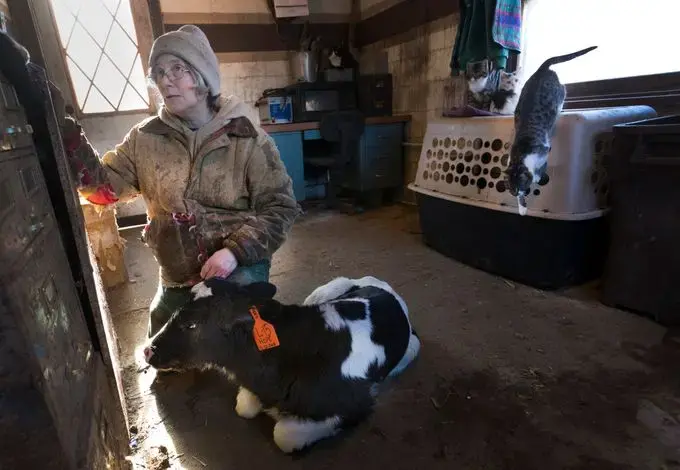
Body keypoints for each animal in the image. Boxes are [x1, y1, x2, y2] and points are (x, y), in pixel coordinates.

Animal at [143, 276, 420, 452]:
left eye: (192, 324)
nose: (147, 350)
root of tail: (380, 285)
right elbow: (244, 407)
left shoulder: (357, 405)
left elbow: (284, 435)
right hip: (324, 290)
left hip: (412, 347)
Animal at [502, 45, 596, 214]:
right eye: (510, 188)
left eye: (518, 187)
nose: (514, 192)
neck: (520, 157)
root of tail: (541, 70)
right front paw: (522, 208)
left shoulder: (544, 153)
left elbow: (539, 171)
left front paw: (537, 179)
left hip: (559, 91)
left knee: (563, 90)